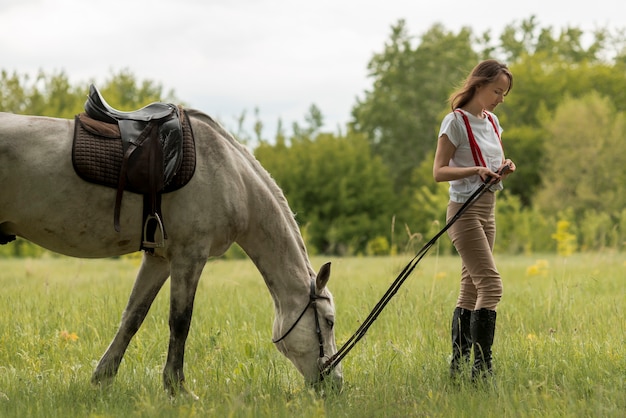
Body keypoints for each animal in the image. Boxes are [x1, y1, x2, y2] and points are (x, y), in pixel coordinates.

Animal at [0, 108, 342, 396]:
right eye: (329, 321)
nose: (335, 383)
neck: (231, 175)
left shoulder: (159, 260)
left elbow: (133, 316)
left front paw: (103, 379)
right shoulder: (189, 256)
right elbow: (180, 321)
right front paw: (178, 389)